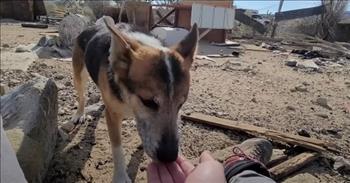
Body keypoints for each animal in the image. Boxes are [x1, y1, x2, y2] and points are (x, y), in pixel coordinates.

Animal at [69, 16, 198, 183]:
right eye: (148, 101)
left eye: (181, 104)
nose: (169, 157)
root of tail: (92, 27)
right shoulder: (113, 116)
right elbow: (117, 149)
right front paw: (120, 176)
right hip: (79, 75)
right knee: (82, 95)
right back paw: (80, 114)